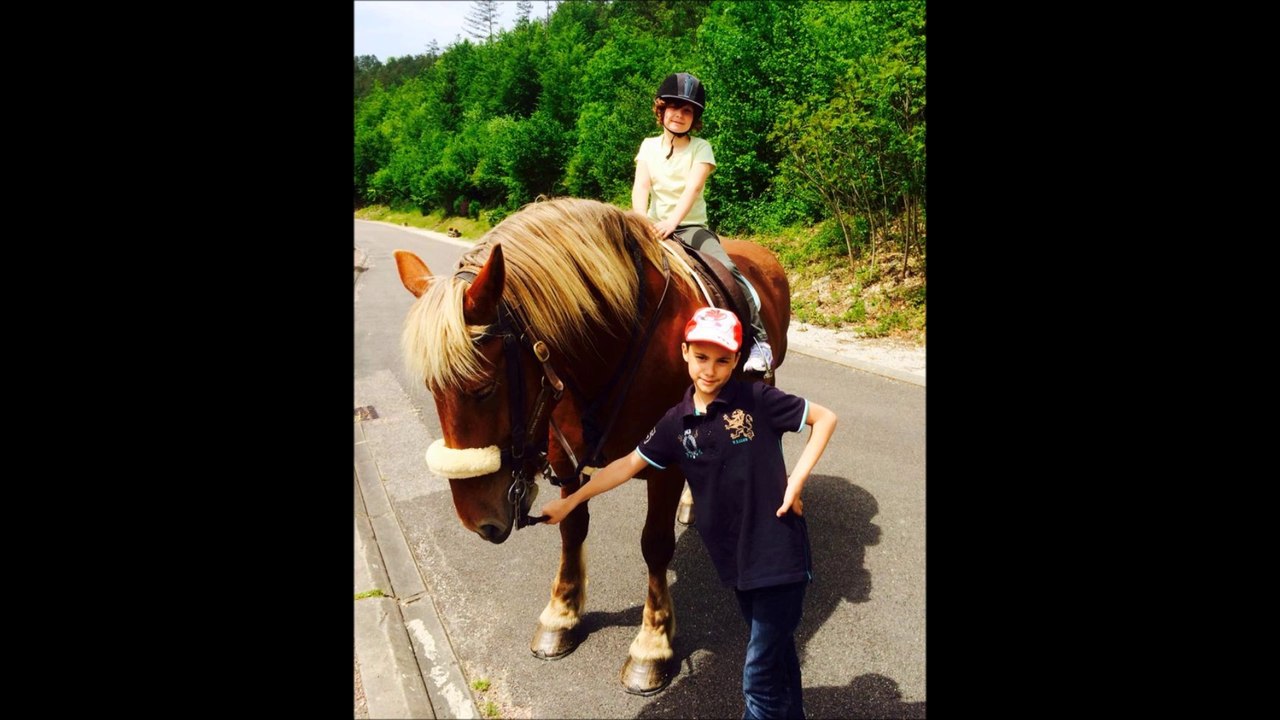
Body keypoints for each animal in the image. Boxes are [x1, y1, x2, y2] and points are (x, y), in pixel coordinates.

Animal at [394, 197, 791, 695]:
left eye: (483, 387)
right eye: (431, 388)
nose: (477, 521)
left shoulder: (661, 463)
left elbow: (654, 544)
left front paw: (652, 644)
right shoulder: (565, 456)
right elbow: (571, 527)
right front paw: (561, 614)